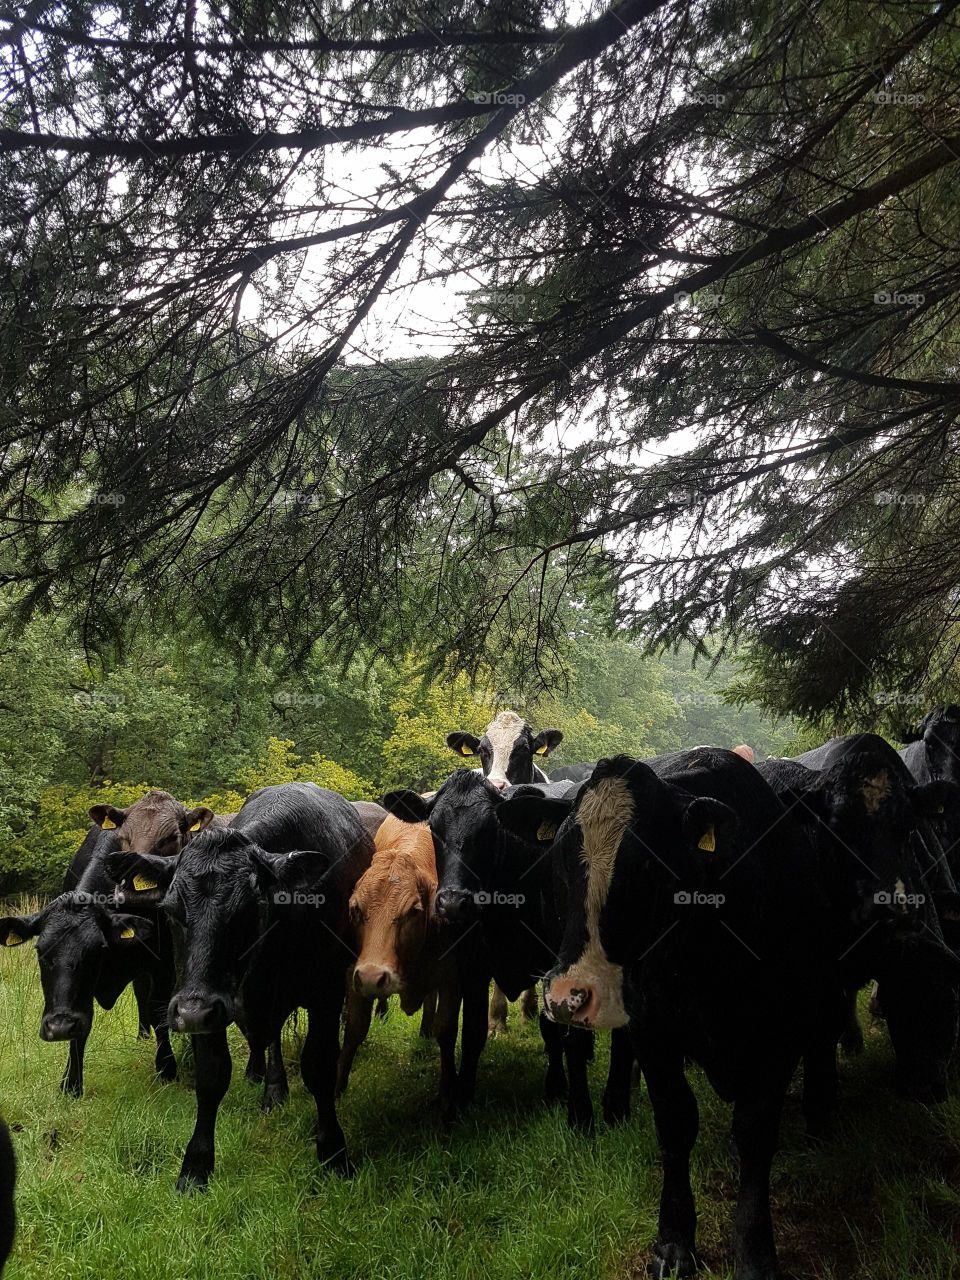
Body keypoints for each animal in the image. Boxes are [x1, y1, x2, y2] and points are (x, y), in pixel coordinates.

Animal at [0, 827, 177, 1096]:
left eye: (96, 950)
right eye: (40, 951)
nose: (59, 1027)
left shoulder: (162, 963)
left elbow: (159, 1012)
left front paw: (166, 1068)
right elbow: (83, 1026)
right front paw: (71, 1084)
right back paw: (142, 1037)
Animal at [111, 781, 373, 1191]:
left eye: (249, 908)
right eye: (171, 909)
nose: (192, 1012)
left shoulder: (326, 992)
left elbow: (319, 1067)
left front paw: (333, 1150)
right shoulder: (206, 1002)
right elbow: (212, 1075)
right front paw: (196, 1165)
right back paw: (273, 1089)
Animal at [335, 815, 458, 1100]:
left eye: (413, 911)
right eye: (356, 909)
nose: (372, 976)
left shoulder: (453, 976)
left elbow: (446, 1030)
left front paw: (448, 1092)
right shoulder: (354, 973)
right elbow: (355, 1029)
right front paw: (337, 1087)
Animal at [383, 772, 634, 1132]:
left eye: (490, 829)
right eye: (434, 827)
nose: (453, 901)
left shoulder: (549, 962)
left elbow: (551, 1028)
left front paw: (556, 1086)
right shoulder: (472, 965)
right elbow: (472, 1031)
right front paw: (461, 1095)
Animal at [503, 749, 840, 1280]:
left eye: (648, 864)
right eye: (560, 857)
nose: (567, 997)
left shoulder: (780, 1032)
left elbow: (755, 1130)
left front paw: (755, 1252)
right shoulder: (653, 1029)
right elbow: (676, 1119)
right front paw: (675, 1243)